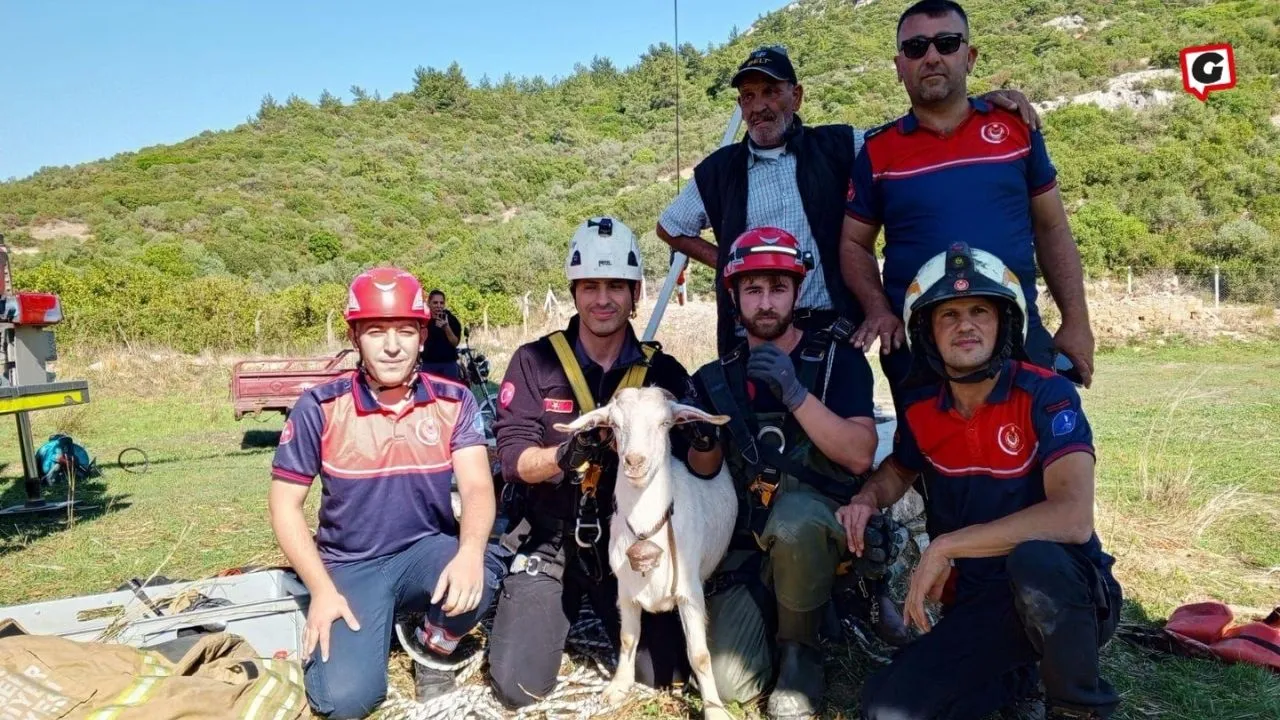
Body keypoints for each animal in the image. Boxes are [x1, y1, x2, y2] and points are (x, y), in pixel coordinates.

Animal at [555, 386, 737, 717]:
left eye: (665, 423)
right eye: (614, 425)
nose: (635, 462)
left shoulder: (689, 594)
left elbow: (700, 655)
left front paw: (715, 709)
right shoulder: (625, 592)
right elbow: (628, 639)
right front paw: (618, 686)